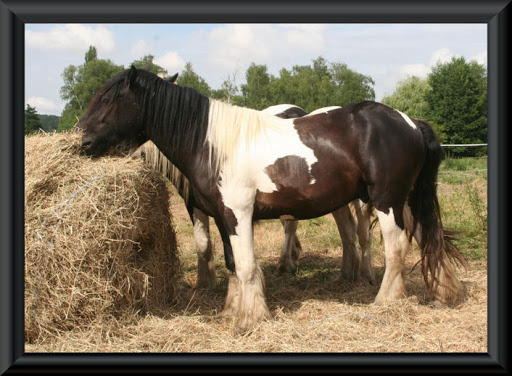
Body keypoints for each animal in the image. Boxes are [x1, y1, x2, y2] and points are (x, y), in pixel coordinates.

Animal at [77, 67, 468, 328]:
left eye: (109, 99)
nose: (82, 142)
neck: (212, 142)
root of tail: (412, 122)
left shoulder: (238, 214)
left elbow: (247, 265)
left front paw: (251, 318)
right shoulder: (222, 217)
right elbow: (233, 264)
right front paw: (234, 310)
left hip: (387, 201)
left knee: (396, 247)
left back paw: (385, 300)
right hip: (407, 201)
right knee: (427, 238)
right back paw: (443, 293)